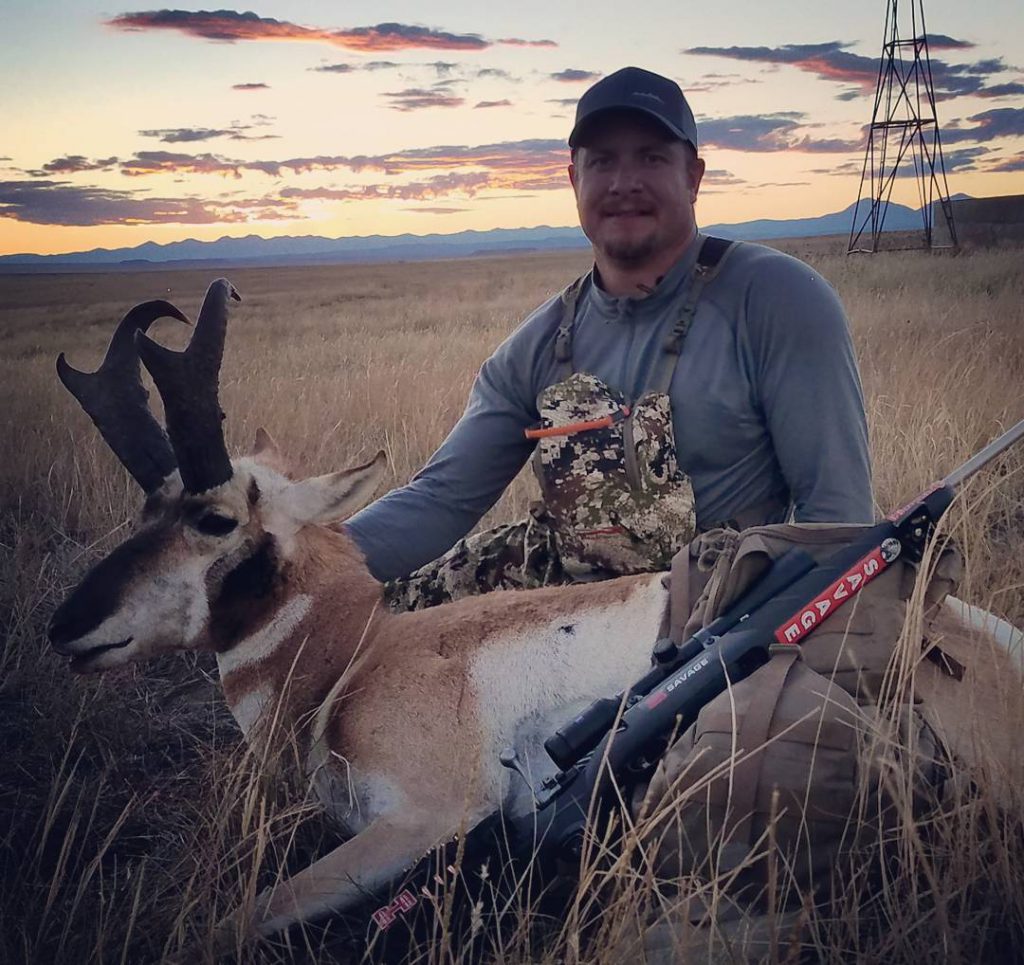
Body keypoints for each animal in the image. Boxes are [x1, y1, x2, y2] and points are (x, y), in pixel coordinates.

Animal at [51, 278, 1024, 942]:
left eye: (213, 518)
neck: (355, 658)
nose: (66, 628)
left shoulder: (426, 822)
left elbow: (231, 920)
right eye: (145, 508)